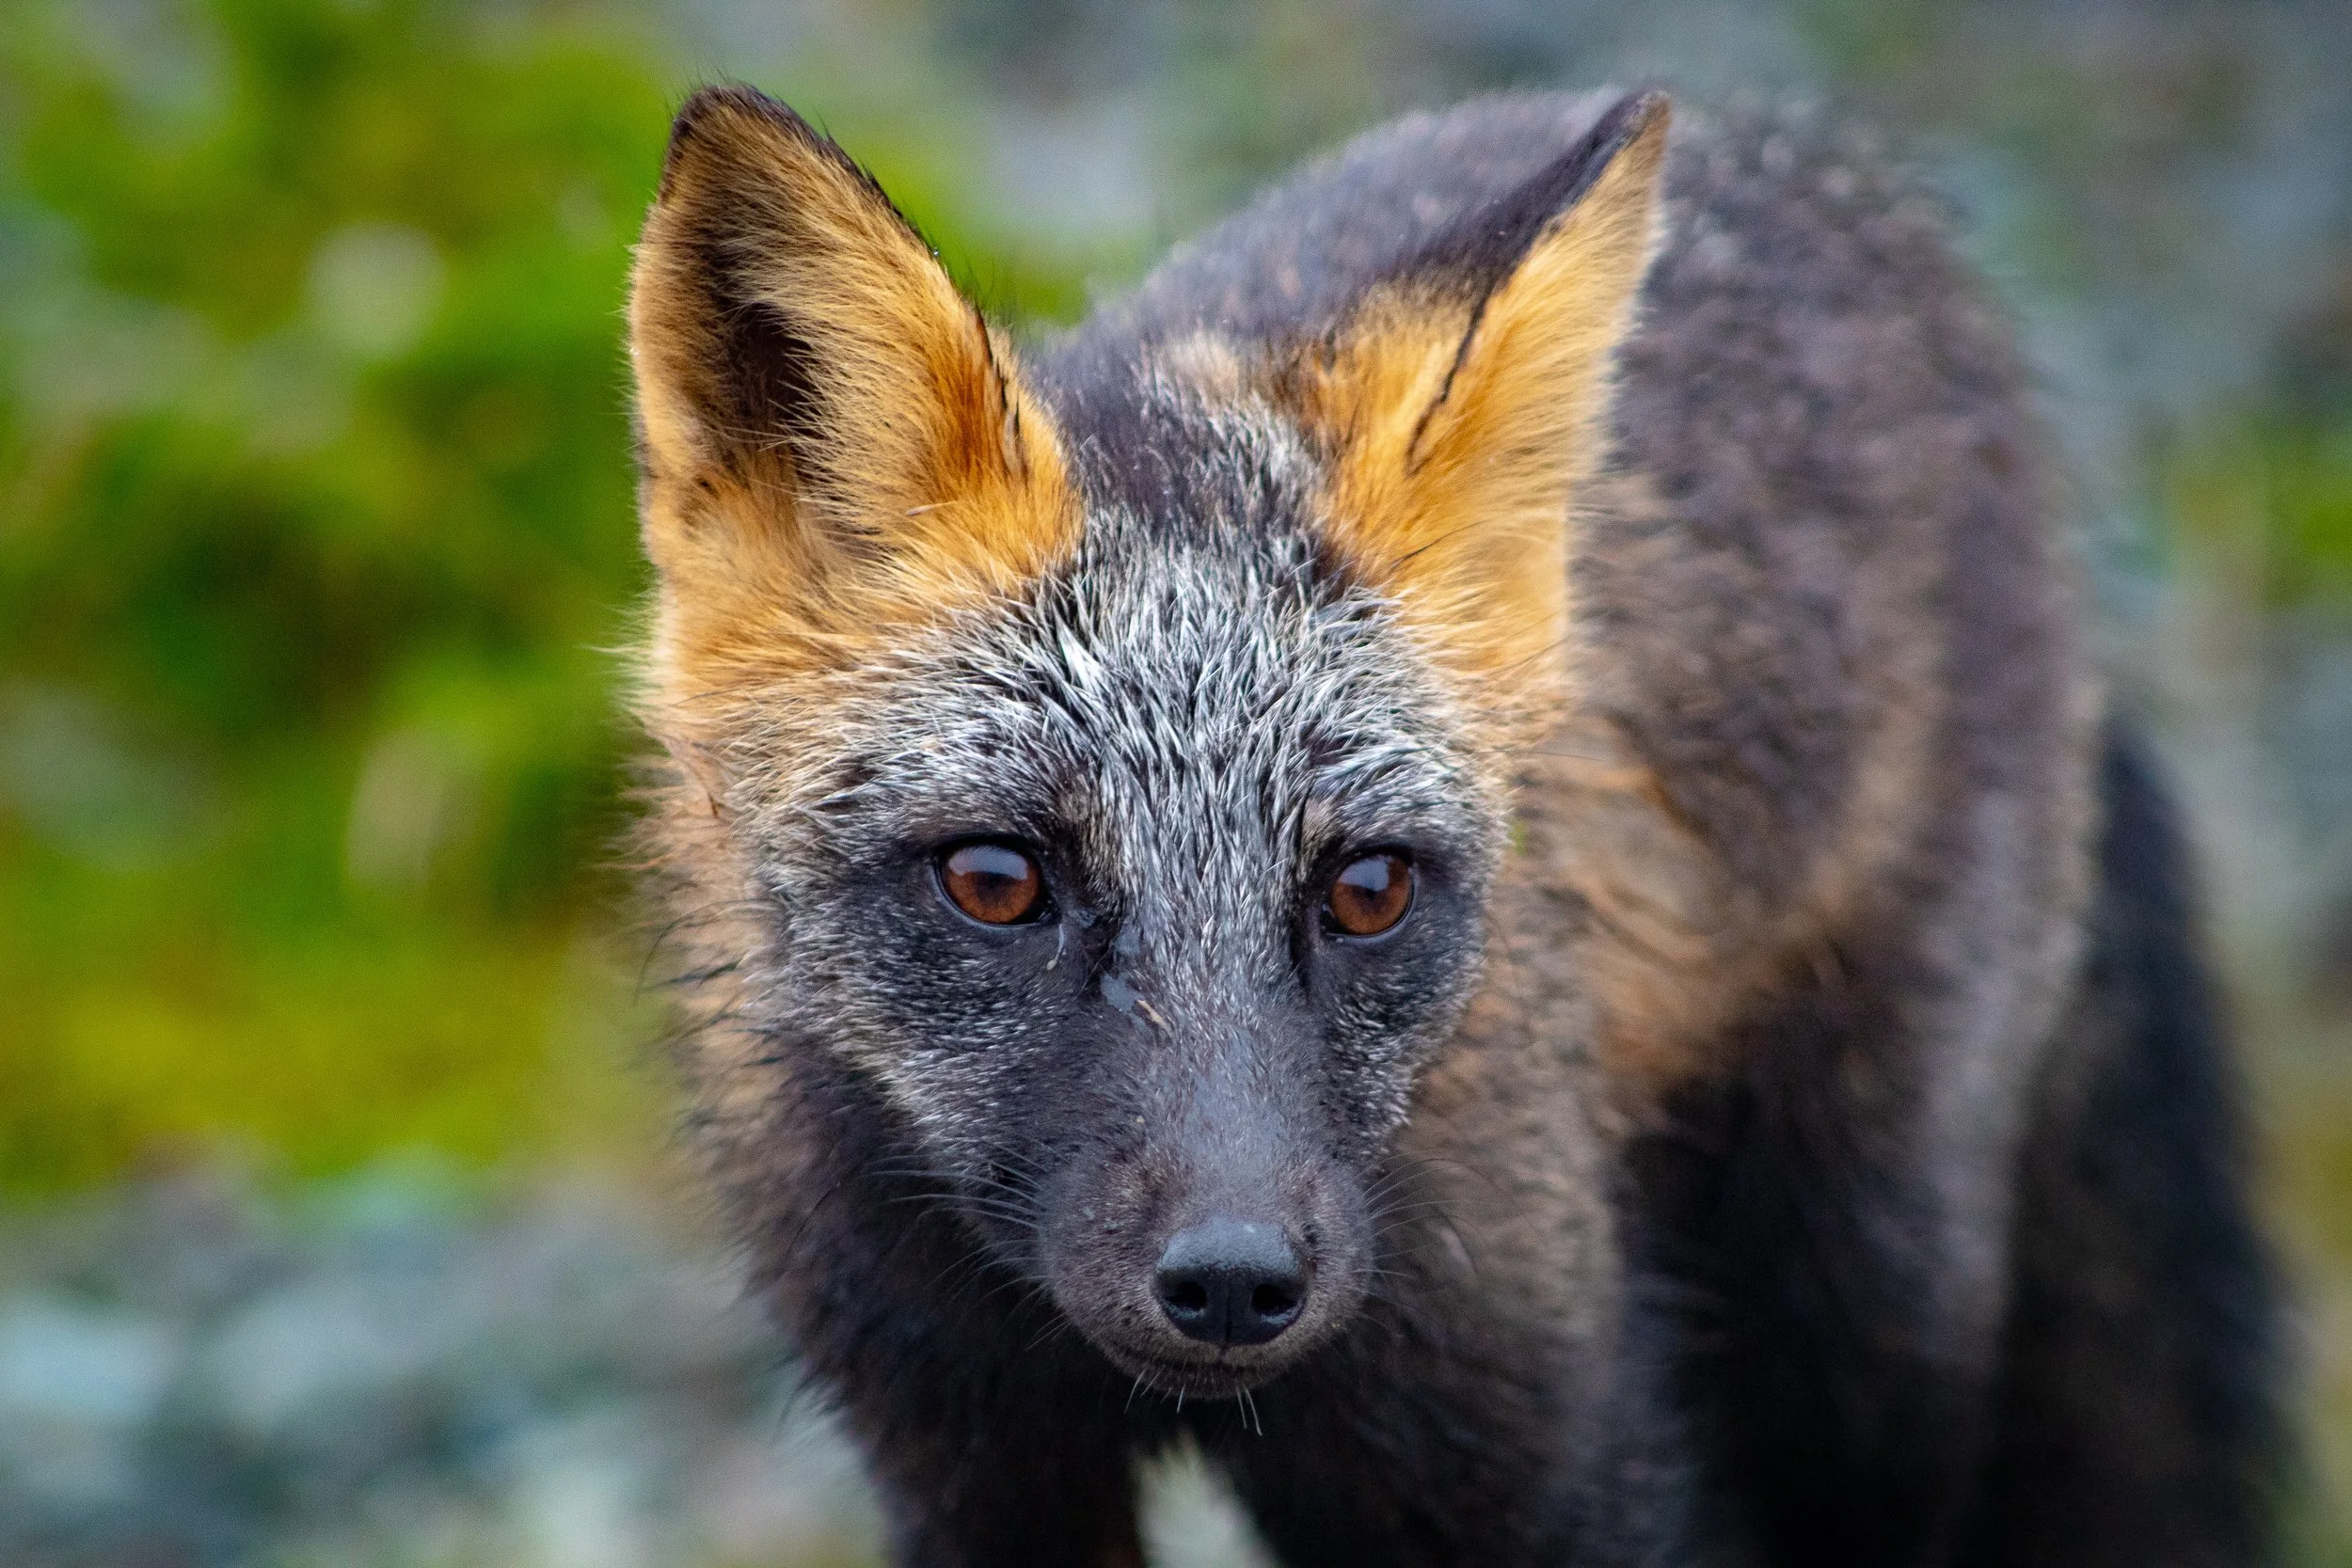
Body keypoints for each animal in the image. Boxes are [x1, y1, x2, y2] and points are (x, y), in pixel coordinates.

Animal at [624, 83, 2280, 1567]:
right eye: (993, 879)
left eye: (1366, 888)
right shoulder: (970, 1470)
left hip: (1873, 1305)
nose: (1235, 1279)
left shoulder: (1554, 1447)